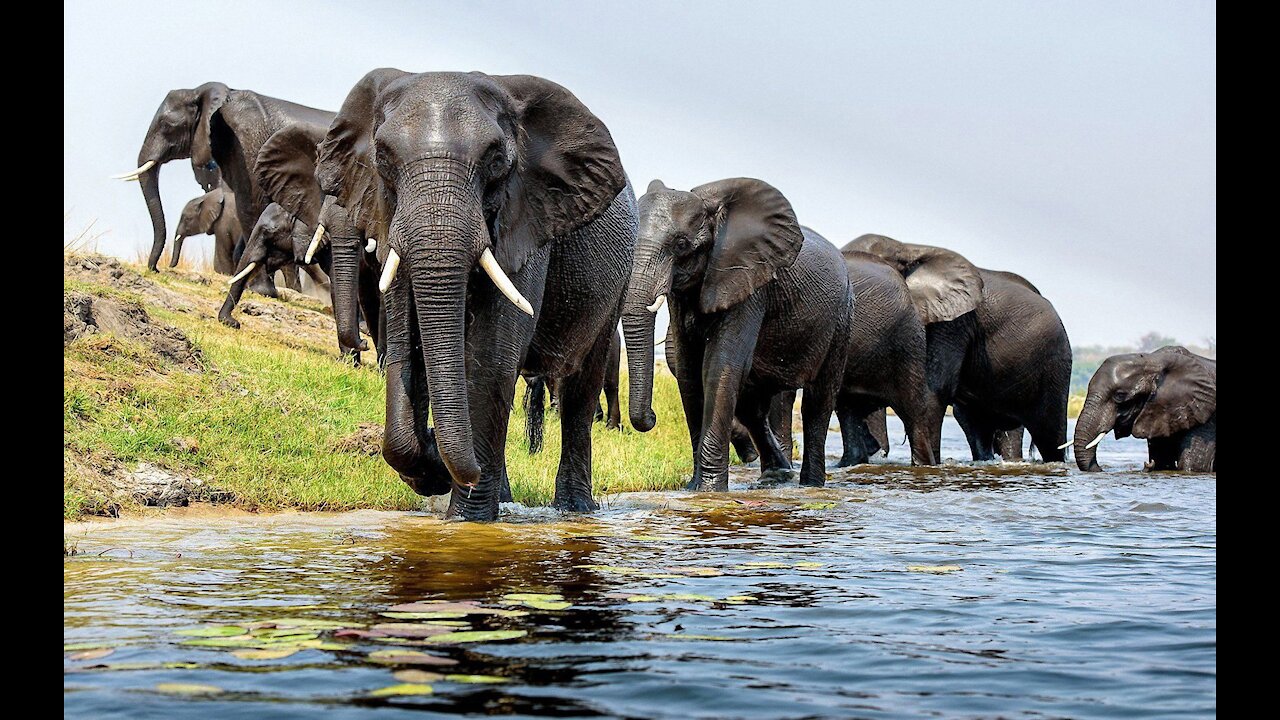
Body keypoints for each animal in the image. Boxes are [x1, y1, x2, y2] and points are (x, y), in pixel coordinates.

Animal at [269, 69, 638, 520]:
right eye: (384, 159)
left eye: (496, 160)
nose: (441, 456)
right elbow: (407, 345)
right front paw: (431, 468)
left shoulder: (526, 219)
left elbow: (491, 357)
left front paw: (466, 520)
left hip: (617, 283)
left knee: (579, 389)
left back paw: (574, 510)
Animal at [622, 178, 852, 490]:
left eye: (681, 244)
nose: (652, 417)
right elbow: (689, 372)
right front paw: (694, 488)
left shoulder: (749, 284)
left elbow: (719, 367)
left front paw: (709, 490)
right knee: (752, 406)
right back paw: (777, 475)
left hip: (841, 319)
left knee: (818, 401)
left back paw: (810, 484)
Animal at [843, 235, 1072, 463]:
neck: (907, 247)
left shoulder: (953, 324)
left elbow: (934, 390)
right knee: (975, 423)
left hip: (1055, 364)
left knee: (1050, 435)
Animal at [1072, 346, 1215, 472]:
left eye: (1120, 395)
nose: (1148, 464)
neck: (1154, 360)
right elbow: (1163, 459)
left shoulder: (1206, 416)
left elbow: (1193, 466)